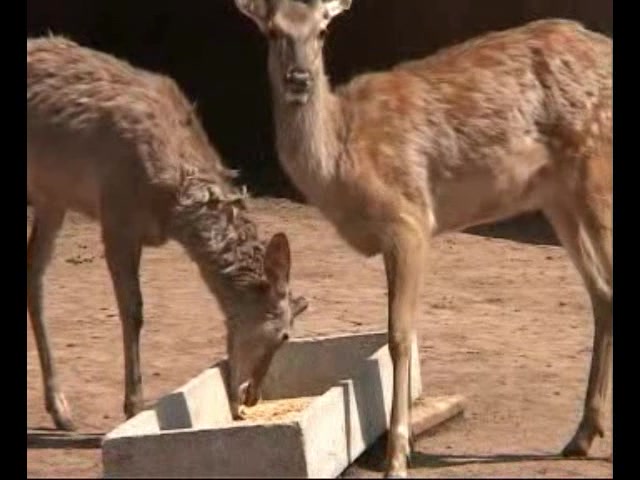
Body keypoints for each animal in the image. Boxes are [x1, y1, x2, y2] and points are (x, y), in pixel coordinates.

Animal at [28, 35, 310, 430]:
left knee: (34, 274)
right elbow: (134, 310)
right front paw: (134, 405)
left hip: (51, 197)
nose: (250, 397)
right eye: (283, 336)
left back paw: (61, 410)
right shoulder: (116, 216)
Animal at [234, 1, 608, 478]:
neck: (341, 160)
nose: (298, 78)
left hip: (596, 168)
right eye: (272, 31)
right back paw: (580, 436)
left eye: (322, 29)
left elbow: (399, 336)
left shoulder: (409, 220)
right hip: (557, 196)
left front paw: (397, 457)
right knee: (602, 294)